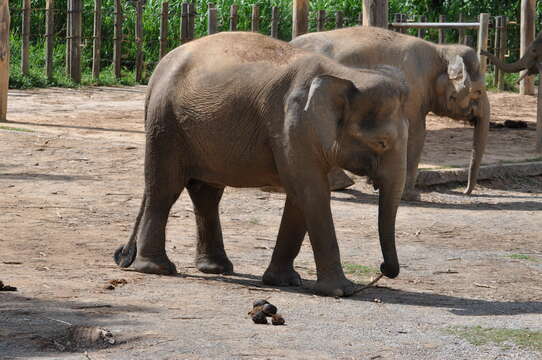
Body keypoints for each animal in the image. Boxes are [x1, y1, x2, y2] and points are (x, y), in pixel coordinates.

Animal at [116, 31, 412, 296]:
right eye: (382, 143)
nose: (383, 268)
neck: (344, 74)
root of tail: (156, 73)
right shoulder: (293, 126)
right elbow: (311, 193)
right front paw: (342, 291)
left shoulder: (302, 136)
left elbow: (300, 197)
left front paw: (284, 281)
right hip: (166, 126)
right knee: (164, 189)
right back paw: (158, 268)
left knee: (206, 193)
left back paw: (216, 268)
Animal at [294, 25, 492, 200]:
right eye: (479, 92)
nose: (466, 192)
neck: (441, 51)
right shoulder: (413, 92)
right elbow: (416, 134)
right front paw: (412, 196)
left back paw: (340, 185)